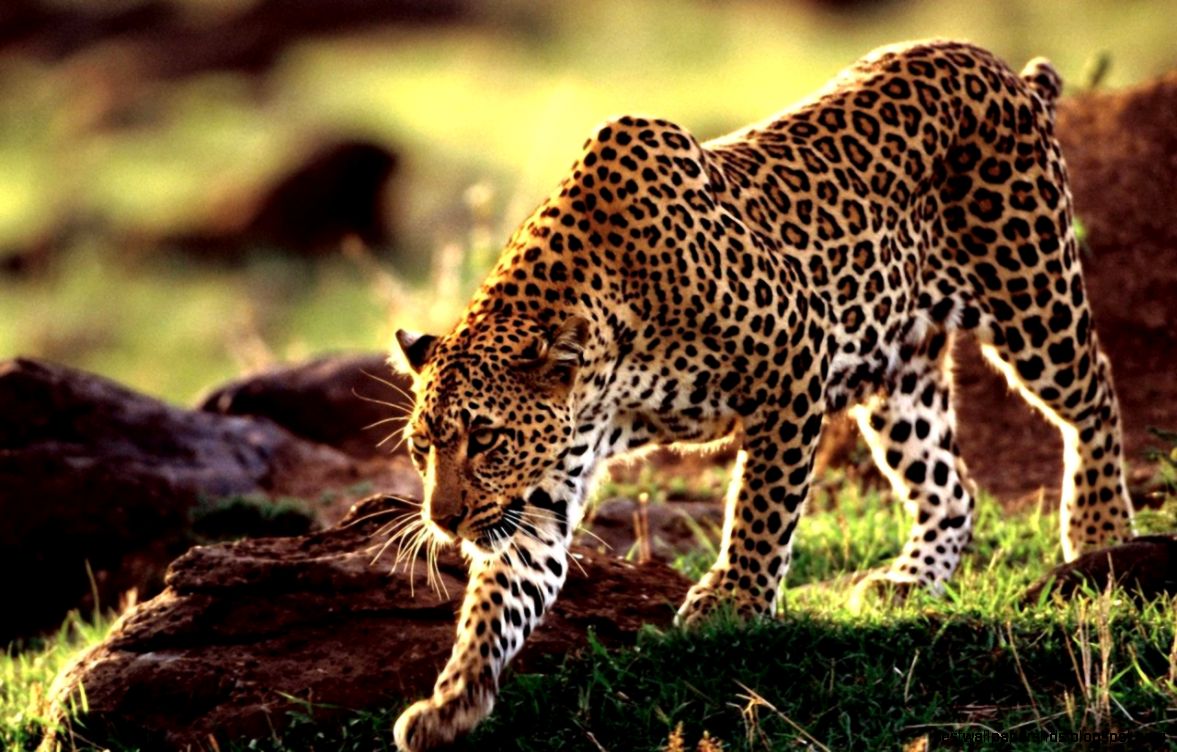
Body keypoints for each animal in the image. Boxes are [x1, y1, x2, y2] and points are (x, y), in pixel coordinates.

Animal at [388, 39, 1135, 751]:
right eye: (422, 448)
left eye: (485, 439)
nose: (444, 521)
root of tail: (1002, 70)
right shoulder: (542, 491)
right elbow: (501, 598)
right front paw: (451, 701)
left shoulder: (794, 357)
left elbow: (760, 505)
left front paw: (736, 602)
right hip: (899, 375)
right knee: (951, 487)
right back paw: (909, 582)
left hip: (1032, 297)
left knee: (1095, 395)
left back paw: (1099, 535)